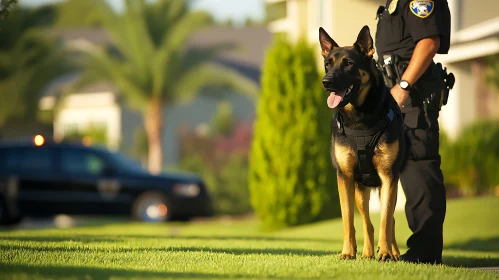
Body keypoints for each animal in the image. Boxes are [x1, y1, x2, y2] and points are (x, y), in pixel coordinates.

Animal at [320, 25, 406, 262]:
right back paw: (367, 253)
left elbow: (385, 220)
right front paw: (348, 252)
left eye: (348, 63)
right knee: (367, 222)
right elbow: (348, 220)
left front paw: (385, 252)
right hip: (360, 190)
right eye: (328, 64)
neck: (359, 119)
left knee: (390, 220)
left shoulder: (388, 176)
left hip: (390, 187)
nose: (326, 82)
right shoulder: (345, 176)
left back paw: (393, 252)